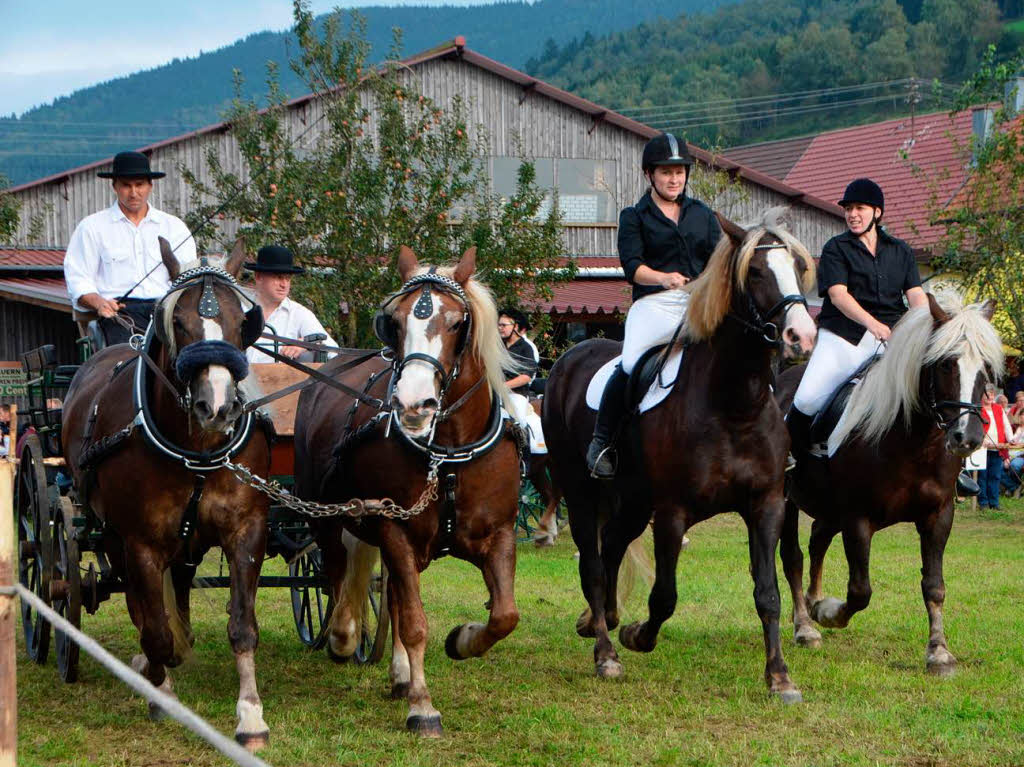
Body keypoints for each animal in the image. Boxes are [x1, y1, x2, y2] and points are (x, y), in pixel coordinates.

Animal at [62, 237, 274, 749]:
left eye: (241, 321)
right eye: (178, 322)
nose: (217, 407)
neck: (196, 449)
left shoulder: (246, 530)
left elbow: (242, 625)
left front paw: (250, 714)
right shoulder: (139, 542)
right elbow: (154, 628)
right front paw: (162, 691)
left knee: (177, 584)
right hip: (112, 535)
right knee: (139, 606)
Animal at [294, 245, 520, 737]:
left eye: (457, 322)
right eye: (393, 322)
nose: (414, 404)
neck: (446, 453)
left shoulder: (500, 534)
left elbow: (504, 616)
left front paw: (462, 640)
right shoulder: (394, 530)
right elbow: (415, 622)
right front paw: (423, 705)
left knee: (390, 594)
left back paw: (397, 673)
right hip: (328, 515)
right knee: (338, 577)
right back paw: (343, 638)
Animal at [544, 209, 815, 700]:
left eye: (798, 267)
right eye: (755, 271)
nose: (800, 335)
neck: (733, 406)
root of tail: (570, 357)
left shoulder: (766, 505)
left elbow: (768, 594)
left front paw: (780, 676)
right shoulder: (672, 512)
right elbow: (664, 596)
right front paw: (637, 636)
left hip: (633, 501)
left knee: (613, 544)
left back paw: (601, 618)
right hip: (581, 493)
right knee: (593, 563)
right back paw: (605, 651)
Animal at [774, 290, 999, 671]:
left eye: (984, 366)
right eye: (945, 364)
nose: (967, 438)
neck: (913, 443)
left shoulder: (938, 515)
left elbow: (934, 585)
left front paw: (939, 652)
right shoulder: (858, 519)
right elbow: (859, 591)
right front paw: (830, 613)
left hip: (829, 509)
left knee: (818, 540)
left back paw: (812, 602)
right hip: (791, 502)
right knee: (793, 557)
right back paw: (805, 625)